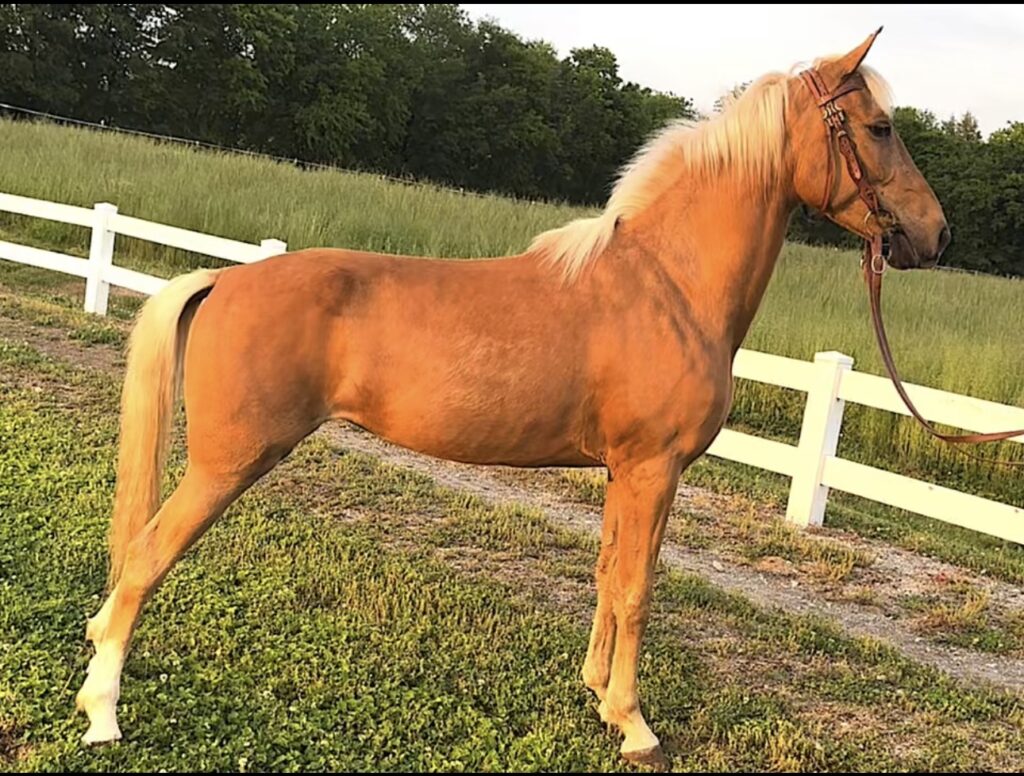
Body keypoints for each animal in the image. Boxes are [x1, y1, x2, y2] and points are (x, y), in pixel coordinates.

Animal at [75, 29, 949, 766]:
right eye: (878, 127)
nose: (935, 236)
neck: (667, 284)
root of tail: (223, 278)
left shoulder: (622, 472)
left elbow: (607, 574)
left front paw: (598, 694)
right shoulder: (654, 469)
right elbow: (637, 589)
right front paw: (635, 726)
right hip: (226, 465)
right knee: (144, 561)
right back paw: (103, 714)